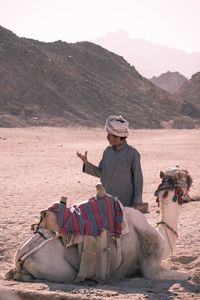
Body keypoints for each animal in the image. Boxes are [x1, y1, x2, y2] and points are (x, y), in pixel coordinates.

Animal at [6, 166, 193, 284]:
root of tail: (19, 257)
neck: (162, 236)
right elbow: (185, 276)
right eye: (182, 175)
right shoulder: (152, 267)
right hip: (58, 269)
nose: (190, 175)